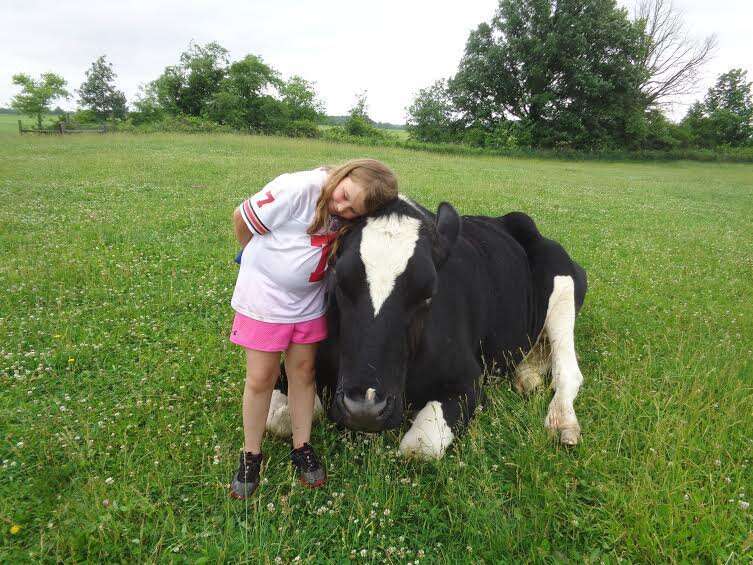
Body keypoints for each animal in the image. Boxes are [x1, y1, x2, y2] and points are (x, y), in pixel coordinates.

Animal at [264, 195, 588, 458]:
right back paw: (528, 375)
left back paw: (562, 420)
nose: (364, 408)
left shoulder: (468, 380)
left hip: (564, 287)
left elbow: (419, 446)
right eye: (339, 282)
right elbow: (277, 417)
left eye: (428, 293)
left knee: (568, 369)